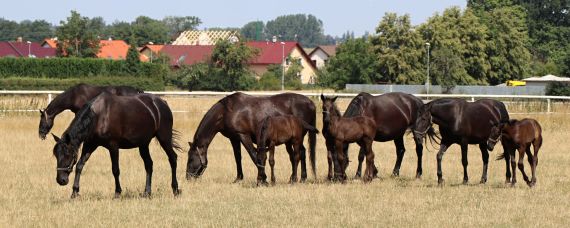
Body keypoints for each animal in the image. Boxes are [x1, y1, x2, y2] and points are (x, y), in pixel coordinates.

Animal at [51, 91, 181, 199]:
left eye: (68, 155)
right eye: (56, 156)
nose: (61, 180)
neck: (98, 116)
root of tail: (162, 103)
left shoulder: (113, 147)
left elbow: (115, 170)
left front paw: (117, 192)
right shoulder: (90, 145)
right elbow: (79, 166)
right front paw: (74, 192)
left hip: (164, 138)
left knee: (173, 158)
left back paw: (175, 189)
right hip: (143, 144)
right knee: (149, 164)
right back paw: (147, 192)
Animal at [185, 91, 316, 183]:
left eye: (191, 159)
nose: (188, 177)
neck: (226, 112)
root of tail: (311, 103)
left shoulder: (244, 136)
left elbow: (254, 155)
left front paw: (263, 179)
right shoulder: (234, 138)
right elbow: (238, 157)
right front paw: (238, 178)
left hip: (297, 138)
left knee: (299, 154)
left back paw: (296, 178)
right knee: (302, 152)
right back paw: (301, 178)